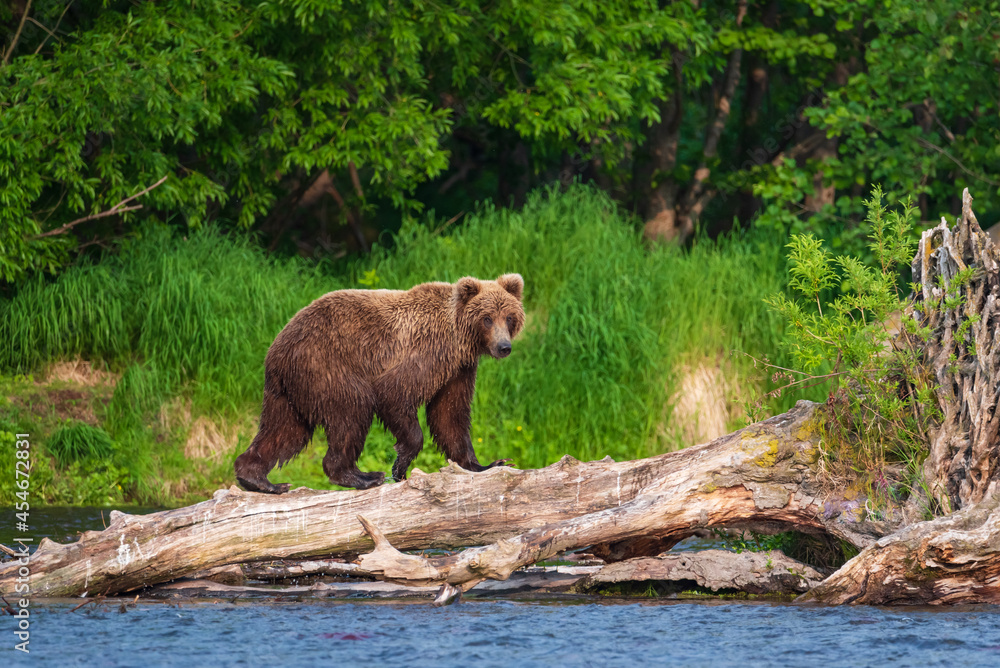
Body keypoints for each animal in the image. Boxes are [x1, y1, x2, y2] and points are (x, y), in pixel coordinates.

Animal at [233, 273, 525, 493]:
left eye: (509, 317)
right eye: (487, 318)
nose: (504, 347)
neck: (459, 340)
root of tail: (276, 349)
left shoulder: (458, 370)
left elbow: (449, 415)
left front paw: (488, 463)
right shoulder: (426, 352)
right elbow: (394, 392)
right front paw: (400, 465)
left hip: (290, 390)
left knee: (284, 430)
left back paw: (259, 479)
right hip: (326, 364)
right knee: (352, 410)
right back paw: (362, 476)